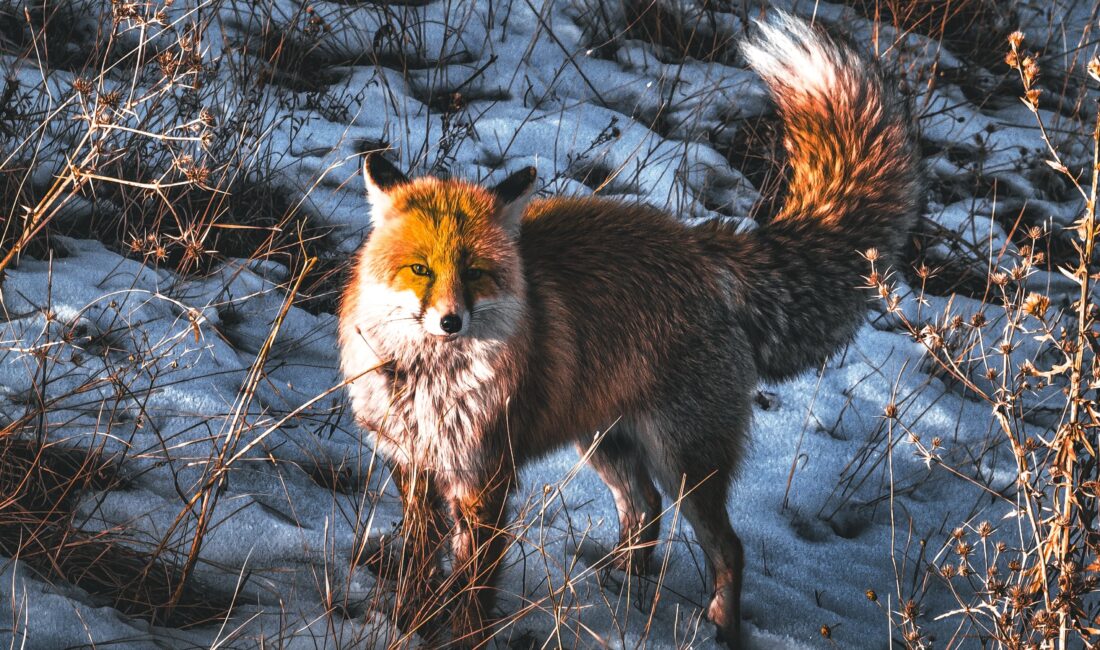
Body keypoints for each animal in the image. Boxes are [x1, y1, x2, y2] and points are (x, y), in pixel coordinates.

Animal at [338, 11, 924, 650]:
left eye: (474, 273)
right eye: (420, 269)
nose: (450, 321)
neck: (430, 389)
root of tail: (702, 243)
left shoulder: (487, 479)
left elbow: (473, 590)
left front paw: (459, 635)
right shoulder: (412, 468)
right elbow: (420, 567)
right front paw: (406, 623)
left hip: (683, 461)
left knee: (727, 547)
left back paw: (719, 626)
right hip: (606, 443)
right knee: (644, 510)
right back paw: (621, 585)